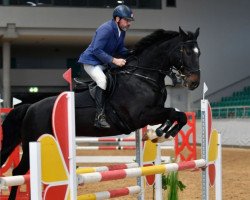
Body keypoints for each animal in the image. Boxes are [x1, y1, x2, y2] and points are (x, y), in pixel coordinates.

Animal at [0, 27, 199, 200]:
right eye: (186, 51)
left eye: (199, 53)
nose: (194, 82)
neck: (142, 77)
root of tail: (30, 107)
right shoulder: (139, 116)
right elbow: (174, 113)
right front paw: (159, 134)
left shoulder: (153, 112)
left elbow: (177, 114)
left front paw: (159, 134)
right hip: (32, 143)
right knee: (18, 172)